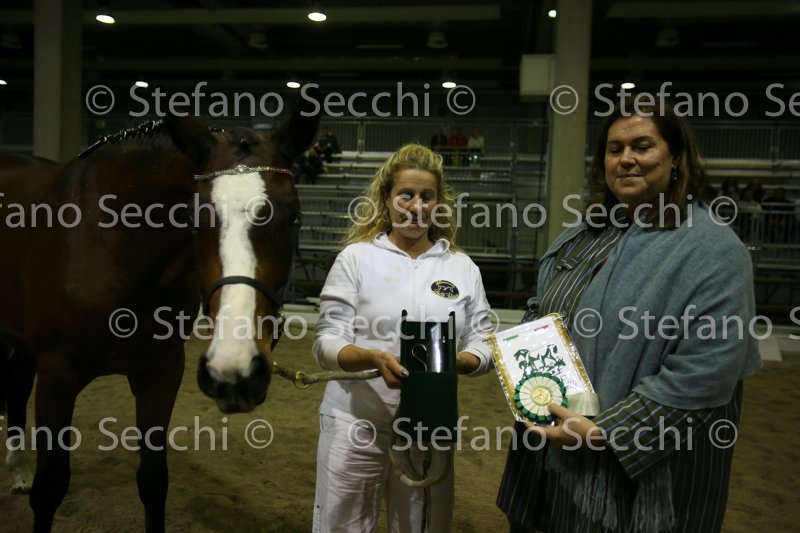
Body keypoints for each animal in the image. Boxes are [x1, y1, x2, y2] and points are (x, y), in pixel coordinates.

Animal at [0, 100, 319, 532]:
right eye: (196, 218)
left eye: (295, 217)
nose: (234, 370)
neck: (109, 246)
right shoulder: (57, 375)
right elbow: (50, 489)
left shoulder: (161, 372)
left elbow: (153, 482)